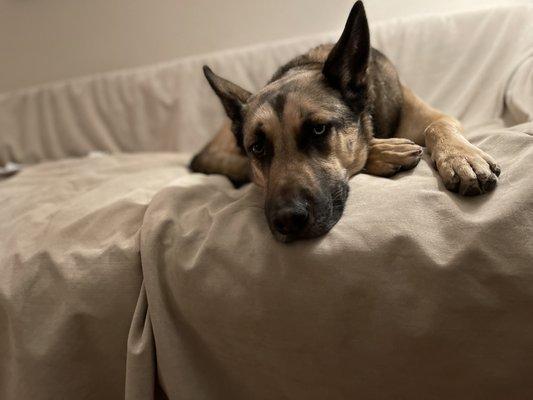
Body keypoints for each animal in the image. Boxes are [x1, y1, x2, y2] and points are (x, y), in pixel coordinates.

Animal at [190, 1, 498, 242]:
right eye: (257, 147)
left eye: (318, 130)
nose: (287, 219)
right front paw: (384, 152)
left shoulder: (436, 116)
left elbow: (437, 126)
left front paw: (462, 158)